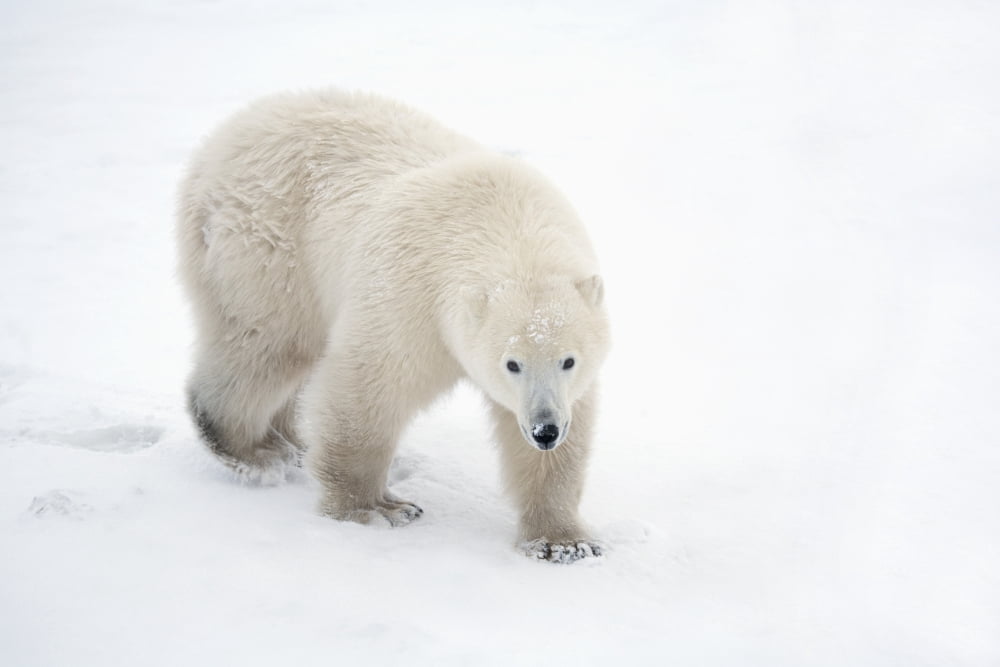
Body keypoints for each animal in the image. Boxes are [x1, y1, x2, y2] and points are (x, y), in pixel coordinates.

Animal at [176, 89, 610, 563]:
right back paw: (253, 450)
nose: (545, 430)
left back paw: (288, 442)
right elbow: (369, 388)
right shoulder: (410, 296)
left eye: (568, 360)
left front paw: (564, 542)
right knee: (269, 344)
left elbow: (562, 441)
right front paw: (377, 509)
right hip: (268, 247)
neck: (505, 221)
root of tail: (216, 146)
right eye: (512, 363)